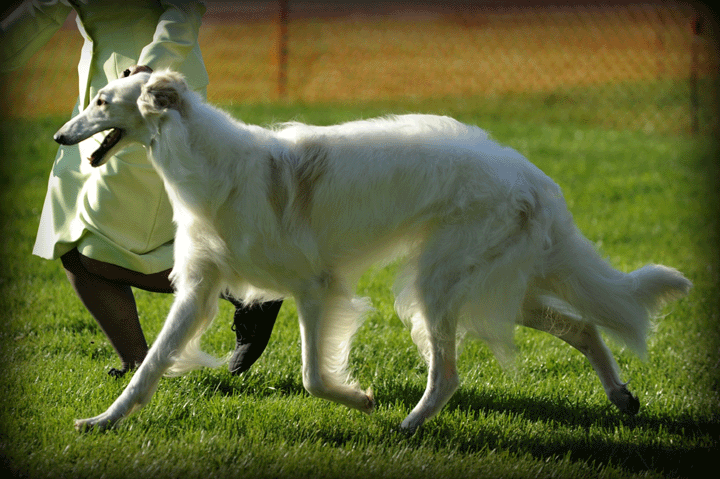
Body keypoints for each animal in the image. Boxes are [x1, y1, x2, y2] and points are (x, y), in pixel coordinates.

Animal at [54, 68, 692, 432]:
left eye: (102, 101)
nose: (60, 136)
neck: (217, 168)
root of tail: (531, 176)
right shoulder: (198, 287)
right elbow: (149, 366)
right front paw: (102, 421)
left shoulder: (315, 287)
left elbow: (313, 375)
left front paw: (359, 400)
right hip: (488, 285)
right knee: (581, 326)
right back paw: (621, 396)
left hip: (439, 284)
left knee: (449, 375)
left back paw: (409, 426)